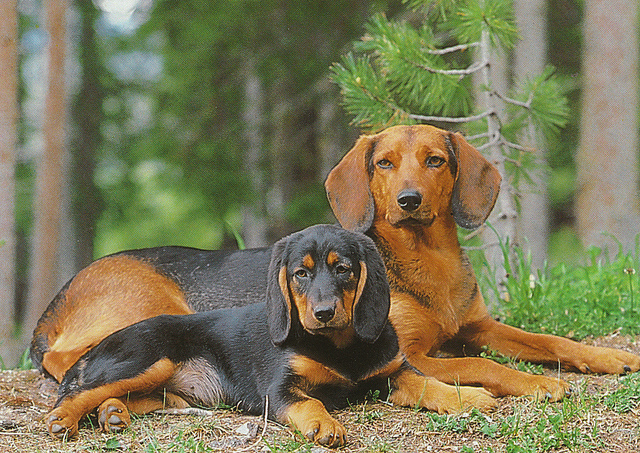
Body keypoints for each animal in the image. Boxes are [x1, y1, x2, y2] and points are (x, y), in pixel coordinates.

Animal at [45, 224, 496, 444]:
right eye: (301, 274)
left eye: (343, 269)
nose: (324, 313)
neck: (339, 346)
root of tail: (102, 344)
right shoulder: (277, 390)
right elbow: (310, 403)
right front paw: (325, 426)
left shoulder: (392, 372)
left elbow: (429, 384)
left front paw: (469, 398)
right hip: (148, 358)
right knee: (80, 393)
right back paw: (63, 421)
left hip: (166, 389)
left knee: (120, 398)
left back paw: (114, 415)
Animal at [324, 123, 640, 400]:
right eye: (385, 163)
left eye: (435, 160)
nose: (409, 200)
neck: (429, 257)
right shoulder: (409, 355)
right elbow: (480, 363)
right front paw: (537, 382)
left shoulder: (480, 328)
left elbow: (550, 340)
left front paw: (607, 355)